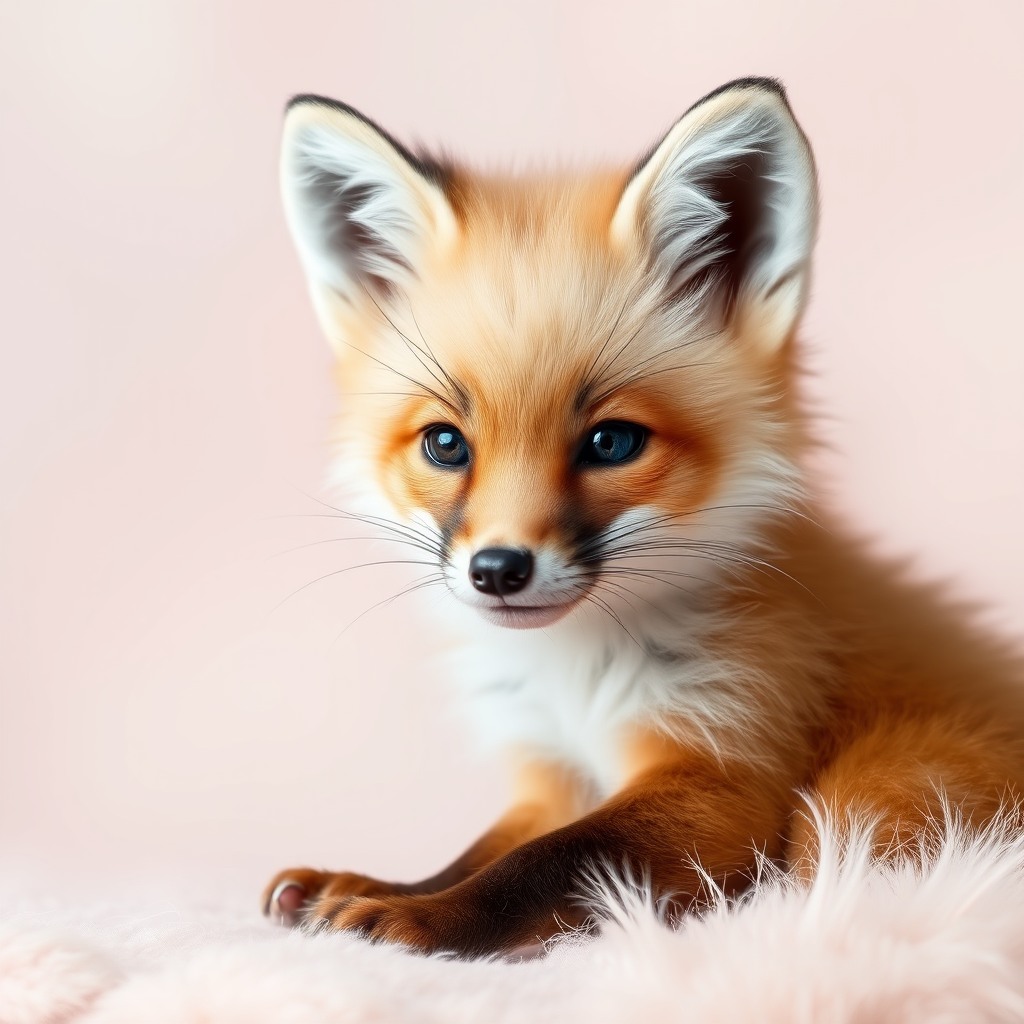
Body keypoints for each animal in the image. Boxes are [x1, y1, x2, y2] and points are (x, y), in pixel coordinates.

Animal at [261, 77, 1024, 957]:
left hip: (865, 794)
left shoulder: (724, 766)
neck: (576, 681)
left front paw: (412, 921)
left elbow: (543, 863)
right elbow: (484, 852)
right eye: (446, 444)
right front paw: (372, 885)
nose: (498, 570)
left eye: (612, 441)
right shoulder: (554, 772)